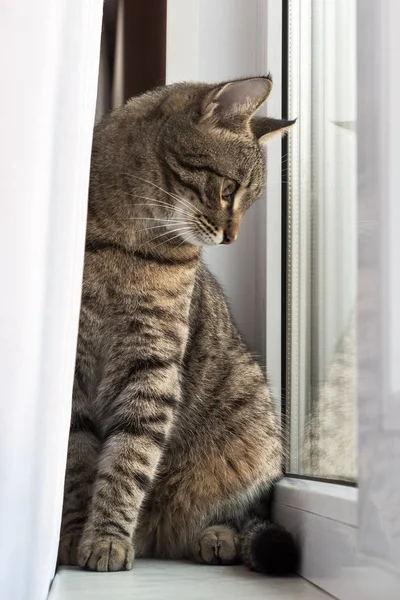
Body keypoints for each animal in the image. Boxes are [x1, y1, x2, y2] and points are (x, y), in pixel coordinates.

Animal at [58, 77, 296, 576]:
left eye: (250, 201)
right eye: (229, 190)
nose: (232, 238)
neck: (130, 245)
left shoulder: (152, 363)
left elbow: (130, 458)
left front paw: (107, 537)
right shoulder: (75, 369)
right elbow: (78, 462)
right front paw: (76, 534)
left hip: (253, 432)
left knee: (245, 513)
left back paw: (217, 537)